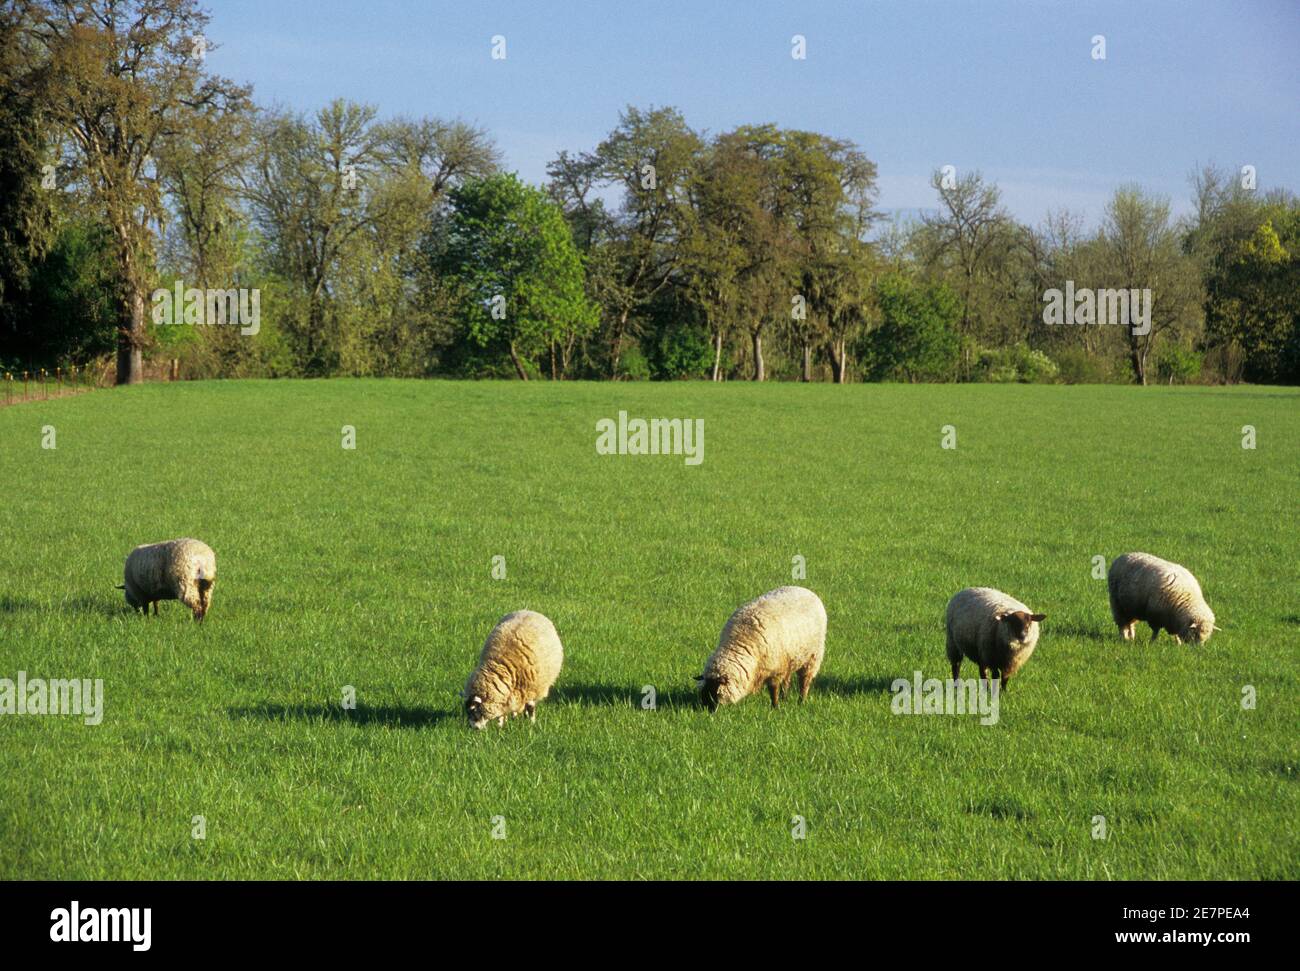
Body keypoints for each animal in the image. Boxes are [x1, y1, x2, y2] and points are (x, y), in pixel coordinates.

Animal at [696, 584, 826, 712]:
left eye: (715, 692)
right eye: (703, 692)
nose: (707, 712)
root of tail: (805, 589)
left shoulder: (775, 670)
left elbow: (773, 690)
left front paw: (775, 708)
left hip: (812, 658)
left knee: (804, 682)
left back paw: (801, 702)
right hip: (789, 660)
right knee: (787, 680)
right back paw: (785, 699)